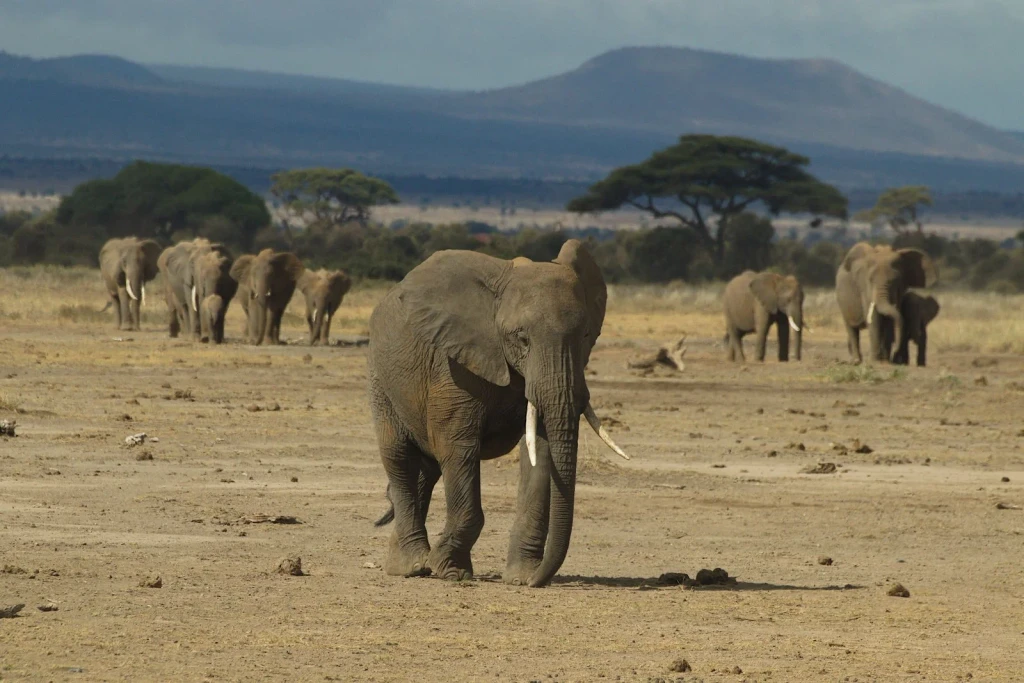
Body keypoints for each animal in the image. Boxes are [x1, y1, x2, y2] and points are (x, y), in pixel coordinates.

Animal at [368, 239, 629, 588]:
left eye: (586, 336)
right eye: (522, 338)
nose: (537, 581)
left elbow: (541, 451)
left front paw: (522, 577)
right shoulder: (453, 367)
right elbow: (457, 447)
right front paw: (451, 572)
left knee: (427, 468)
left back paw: (407, 563)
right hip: (380, 377)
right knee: (399, 457)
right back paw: (412, 566)